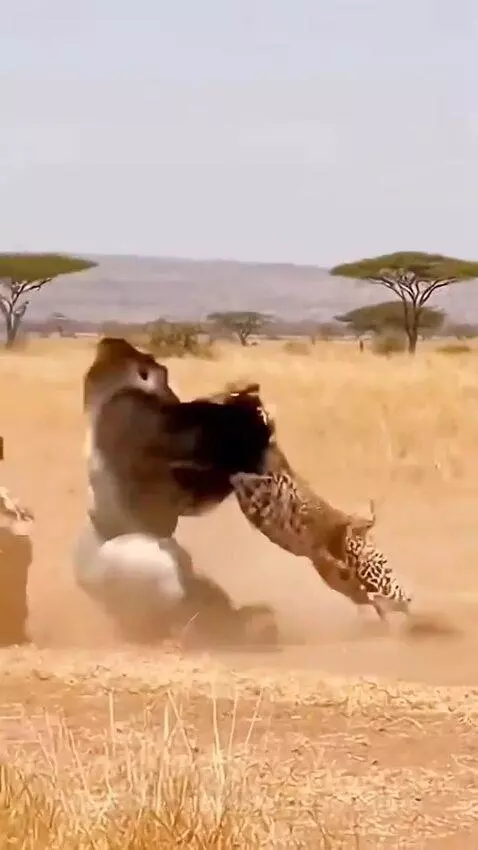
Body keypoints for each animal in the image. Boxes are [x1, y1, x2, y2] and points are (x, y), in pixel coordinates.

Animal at [74, 336, 278, 647]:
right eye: (165, 375)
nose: (174, 395)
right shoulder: (136, 413)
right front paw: (248, 422)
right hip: (121, 572)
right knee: (161, 568)